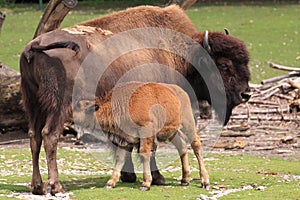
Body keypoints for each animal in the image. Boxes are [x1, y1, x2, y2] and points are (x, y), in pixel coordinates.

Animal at [74, 81, 210, 191]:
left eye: (78, 107)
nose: (71, 117)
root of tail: (182, 92)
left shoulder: (145, 131)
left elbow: (144, 153)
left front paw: (146, 184)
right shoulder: (124, 139)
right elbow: (120, 158)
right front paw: (110, 183)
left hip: (187, 124)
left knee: (196, 144)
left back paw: (205, 182)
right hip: (172, 132)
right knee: (182, 147)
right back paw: (185, 180)